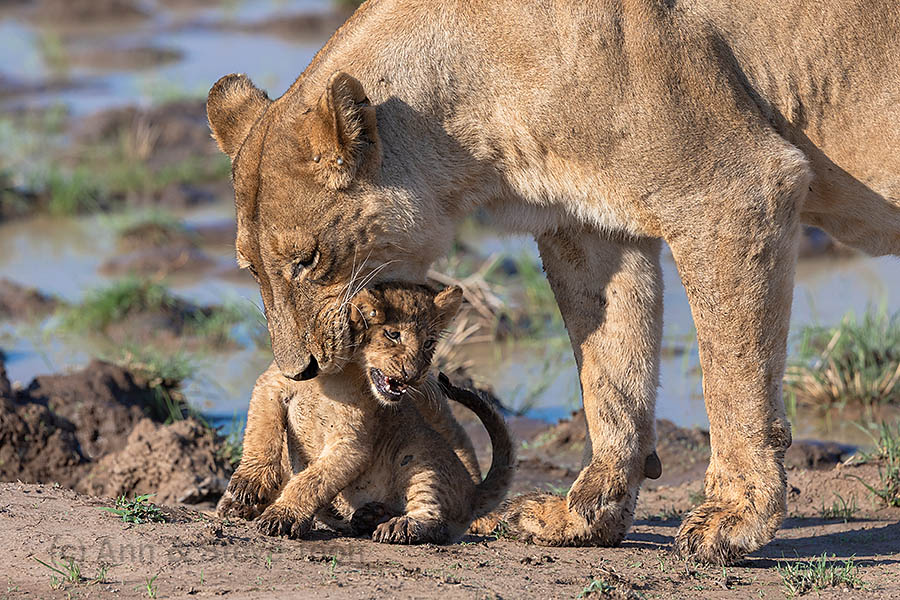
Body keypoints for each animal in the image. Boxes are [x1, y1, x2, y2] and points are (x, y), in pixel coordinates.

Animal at [216, 283, 515, 543]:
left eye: (429, 342)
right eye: (393, 334)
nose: (414, 374)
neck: (334, 375)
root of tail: (472, 490)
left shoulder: (353, 443)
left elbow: (313, 480)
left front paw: (283, 515)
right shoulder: (271, 384)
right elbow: (262, 431)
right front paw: (249, 485)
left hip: (422, 459)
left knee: (434, 519)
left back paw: (398, 526)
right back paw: (369, 515)